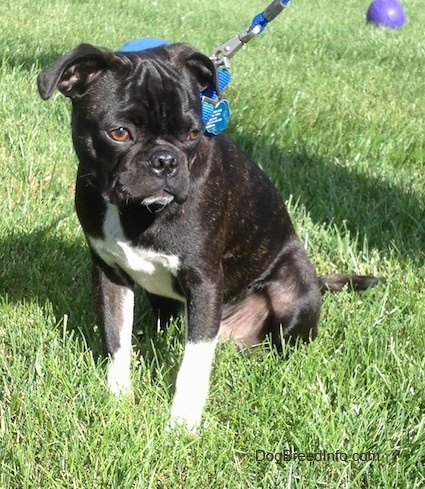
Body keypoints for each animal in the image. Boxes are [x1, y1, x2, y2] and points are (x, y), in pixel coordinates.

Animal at [37, 43, 374, 428]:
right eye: (119, 133)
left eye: (192, 134)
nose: (165, 160)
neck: (136, 211)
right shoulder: (110, 275)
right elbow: (116, 337)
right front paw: (118, 396)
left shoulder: (204, 282)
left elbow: (193, 364)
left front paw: (182, 424)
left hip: (294, 290)